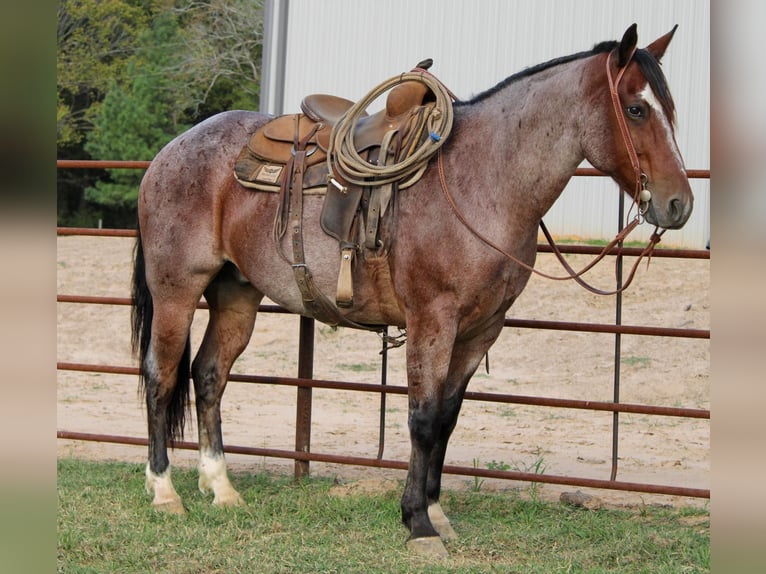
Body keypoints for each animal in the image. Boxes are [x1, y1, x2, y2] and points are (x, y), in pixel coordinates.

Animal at [132, 23, 696, 560]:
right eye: (636, 108)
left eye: (670, 110)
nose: (679, 204)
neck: (483, 180)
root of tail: (172, 150)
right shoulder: (432, 320)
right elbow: (422, 419)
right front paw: (417, 524)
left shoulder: (481, 329)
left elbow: (446, 418)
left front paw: (436, 512)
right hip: (177, 290)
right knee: (161, 375)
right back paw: (165, 492)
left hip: (236, 295)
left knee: (209, 376)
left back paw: (222, 488)